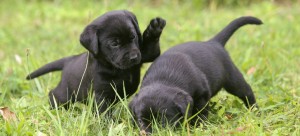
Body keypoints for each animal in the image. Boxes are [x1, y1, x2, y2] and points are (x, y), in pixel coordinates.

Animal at [25, 10, 166, 113]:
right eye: (114, 43)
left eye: (133, 37)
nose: (133, 57)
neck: (113, 67)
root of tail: (69, 60)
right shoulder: (100, 95)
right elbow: (103, 112)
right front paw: (107, 126)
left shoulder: (144, 54)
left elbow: (151, 50)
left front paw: (154, 29)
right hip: (66, 92)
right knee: (54, 94)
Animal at [129, 16, 262, 133]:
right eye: (140, 121)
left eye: (164, 119)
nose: (150, 132)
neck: (164, 78)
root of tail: (213, 43)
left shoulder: (202, 95)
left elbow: (200, 113)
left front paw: (198, 126)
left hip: (232, 78)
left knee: (246, 92)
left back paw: (256, 111)